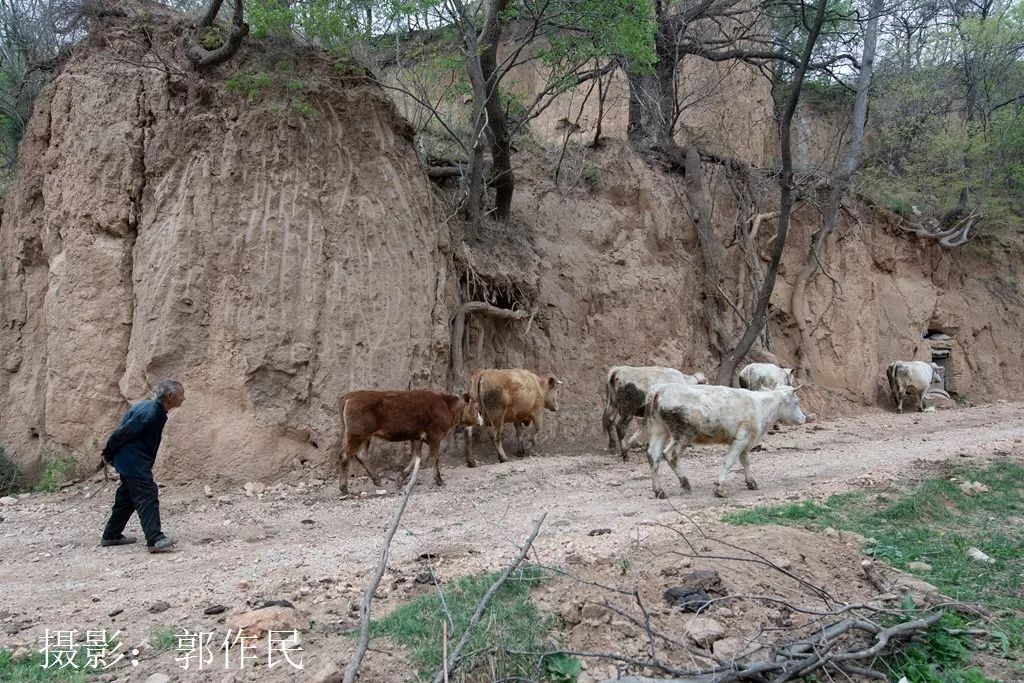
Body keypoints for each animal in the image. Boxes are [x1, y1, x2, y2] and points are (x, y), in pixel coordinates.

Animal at [335, 393, 479, 493]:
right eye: (476, 408)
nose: (480, 421)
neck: (447, 407)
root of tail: (349, 396)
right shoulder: (435, 435)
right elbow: (434, 458)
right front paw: (439, 480)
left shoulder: (416, 437)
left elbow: (416, 457)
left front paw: (400, 479)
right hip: (357, 434)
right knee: (346, 455)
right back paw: (344, 488)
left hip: (364, 435)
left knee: (360, 454)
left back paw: (377, 480)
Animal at [647, 385, 806, 501]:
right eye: (796, 402)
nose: (804, 418)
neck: (761, 406)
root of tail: (661, 390)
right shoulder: (741, 439)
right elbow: (729, 461)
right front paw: (719, 488)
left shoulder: (746, 440)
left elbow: (745, 461)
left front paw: (751, 482)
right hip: (683, 433)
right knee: (670, 454)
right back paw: (685, 483)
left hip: (659, 430)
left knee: (652, 455)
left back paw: (659, 491)